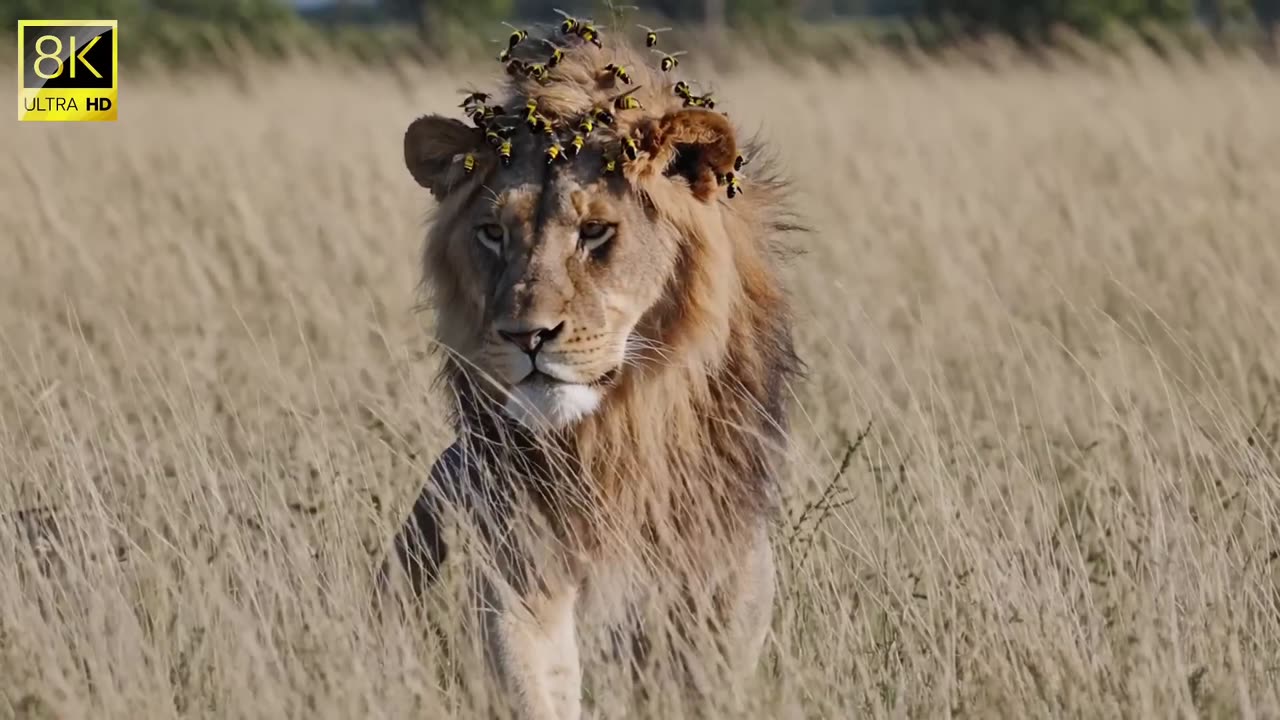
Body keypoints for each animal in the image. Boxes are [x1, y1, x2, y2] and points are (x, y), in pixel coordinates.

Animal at [381, 23, 804, 720]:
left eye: (596, 231)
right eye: (492, 233)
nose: (525, 336)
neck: (616, 440)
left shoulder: (723, 591)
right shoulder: (518, 575)